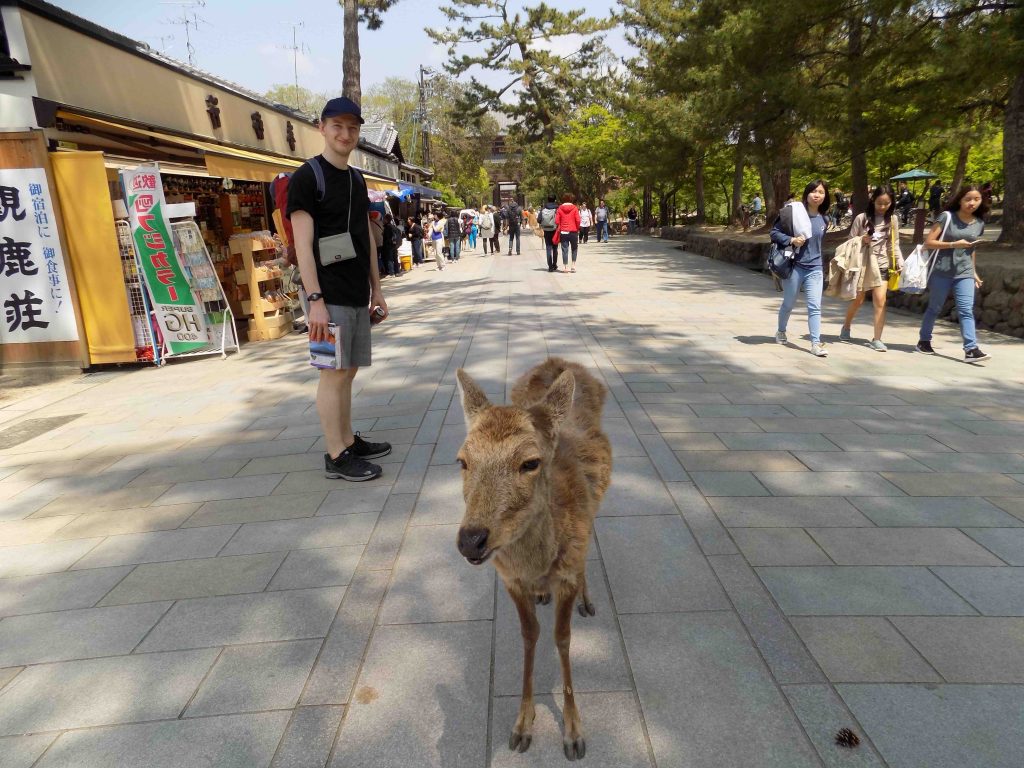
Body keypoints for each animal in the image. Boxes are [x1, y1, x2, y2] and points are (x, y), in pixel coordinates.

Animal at [454, 358, 606, 761]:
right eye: (462, 460)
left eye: (530, 462)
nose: (471, 540)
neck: (537, 564)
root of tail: (562, 362)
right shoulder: (509, 578)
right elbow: (529, 634)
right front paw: (522, 725)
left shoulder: (566, 572)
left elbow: (562, 637)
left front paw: (573, 733)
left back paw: (588, 599)